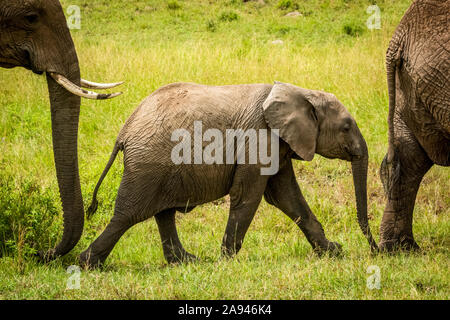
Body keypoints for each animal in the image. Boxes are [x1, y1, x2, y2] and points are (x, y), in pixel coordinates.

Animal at [80, 81, 376, 266]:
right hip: (147, 164)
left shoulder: (278, 143)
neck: (300, 91)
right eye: (346, 127)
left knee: (163, 213)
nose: (376, 249)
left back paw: (188, 261)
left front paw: (332, 251)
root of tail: (124, 131)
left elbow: (287, 197)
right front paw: (226, 260)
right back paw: (87, 264)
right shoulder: (259, 137)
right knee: (128, 214)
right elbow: (249, 195)